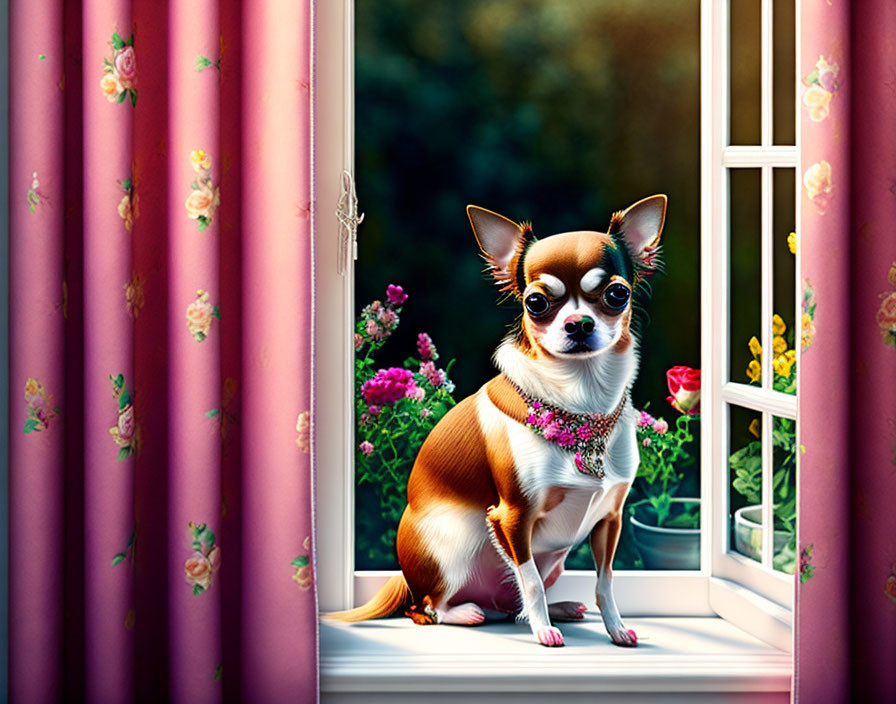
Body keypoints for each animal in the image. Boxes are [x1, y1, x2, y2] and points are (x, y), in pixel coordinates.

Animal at [328, 195, 664, 648]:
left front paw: (614, 629)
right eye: (536, 303)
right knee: (428, 609)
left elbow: (605, 581)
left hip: (551, 560)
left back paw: (557, 609)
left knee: (509, 606)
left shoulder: (609, 520)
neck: (580, 403)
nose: (578, 324)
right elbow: (531, 581)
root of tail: (405, 578)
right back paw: (469, 613)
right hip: (455, 543)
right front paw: (544, 633)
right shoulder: (511, 517)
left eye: (617, 294)